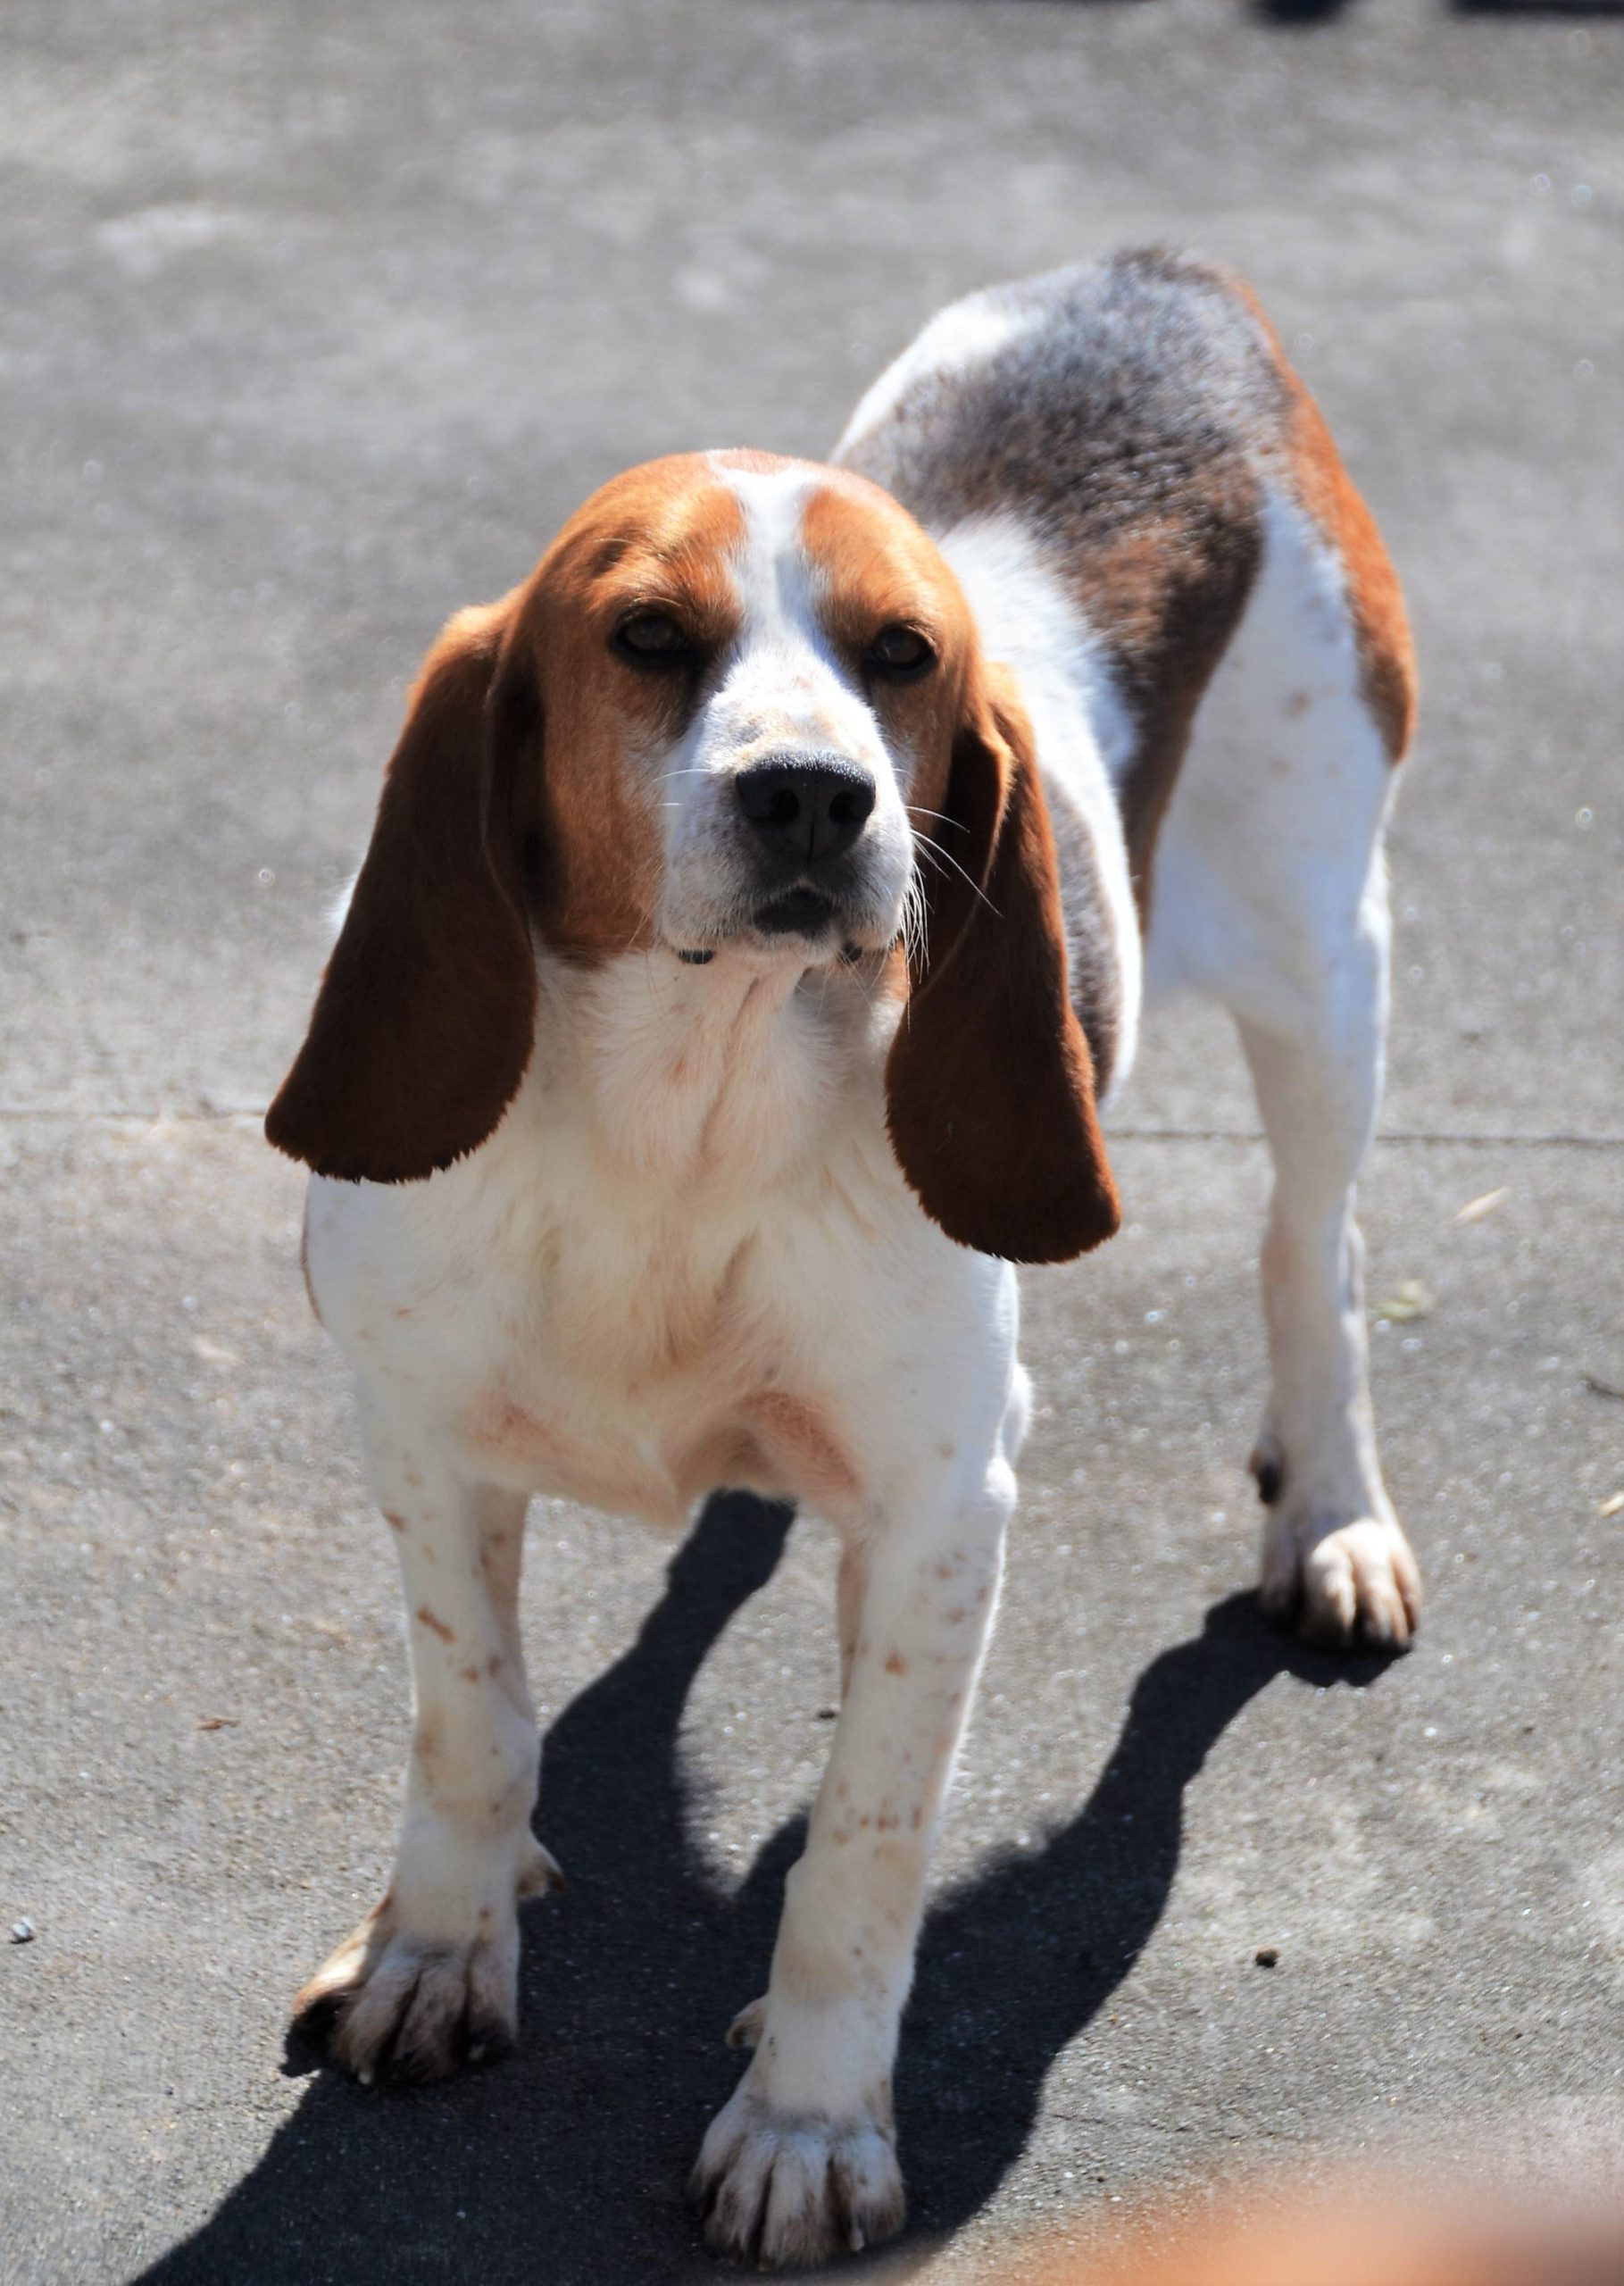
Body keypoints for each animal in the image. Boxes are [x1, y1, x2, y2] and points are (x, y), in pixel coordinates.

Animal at [266, 249, 1422, 2267]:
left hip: (1321, 969)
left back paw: (1332, 1517)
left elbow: (859, 1852)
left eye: (903, 656)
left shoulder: (942, 1512)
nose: (815, 794)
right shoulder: (417, 1441)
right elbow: (470, 1722)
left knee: (1314, 1261)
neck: (678, 1119)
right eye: (649, 636)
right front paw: (438, 1946)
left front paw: (805, 2122)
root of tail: (1156, 276)